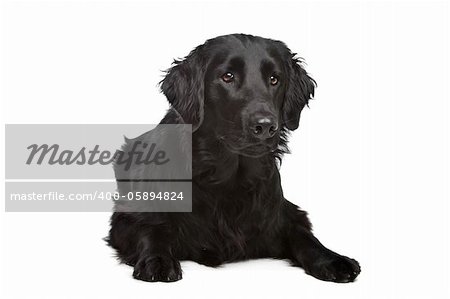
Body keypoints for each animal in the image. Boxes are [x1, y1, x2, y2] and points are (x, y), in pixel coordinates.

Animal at [107, 33, 360, 284]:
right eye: (227, 76)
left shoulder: (284, 213)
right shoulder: (129, 217)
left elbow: (304, 235)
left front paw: (332, 259)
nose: (265, 126)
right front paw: (157, 260)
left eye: (274, 79)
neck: (228, 179)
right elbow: (151, 229)